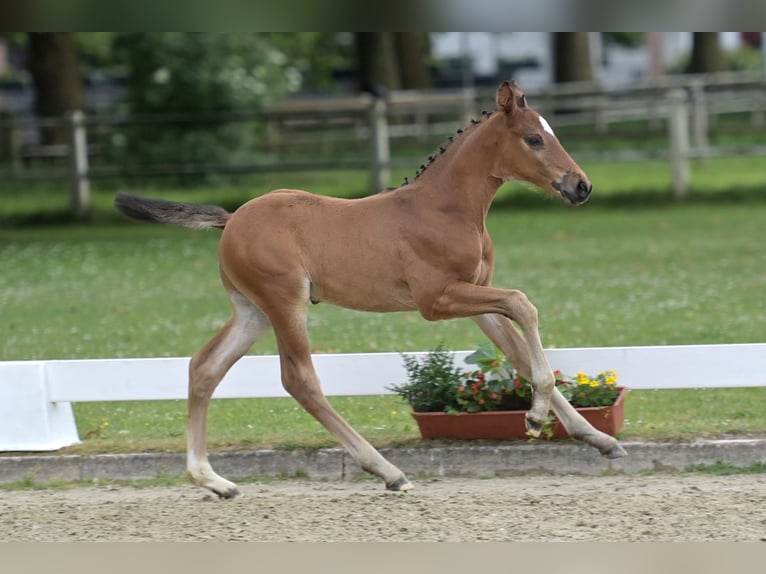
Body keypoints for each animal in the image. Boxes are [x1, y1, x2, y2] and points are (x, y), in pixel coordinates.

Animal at [115, 81, 627, 499]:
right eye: (534, 138)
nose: (581, 186)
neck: (446, 208)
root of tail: (233, 218)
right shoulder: (437, 300)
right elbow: (524, 305)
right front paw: (536, 419)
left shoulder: (476, 296)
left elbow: (518, 353)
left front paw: (599, 439)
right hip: (285, 304)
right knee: (299, 380)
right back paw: (388, 471)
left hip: (251, 311)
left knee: (205, 367)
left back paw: (213, 480)